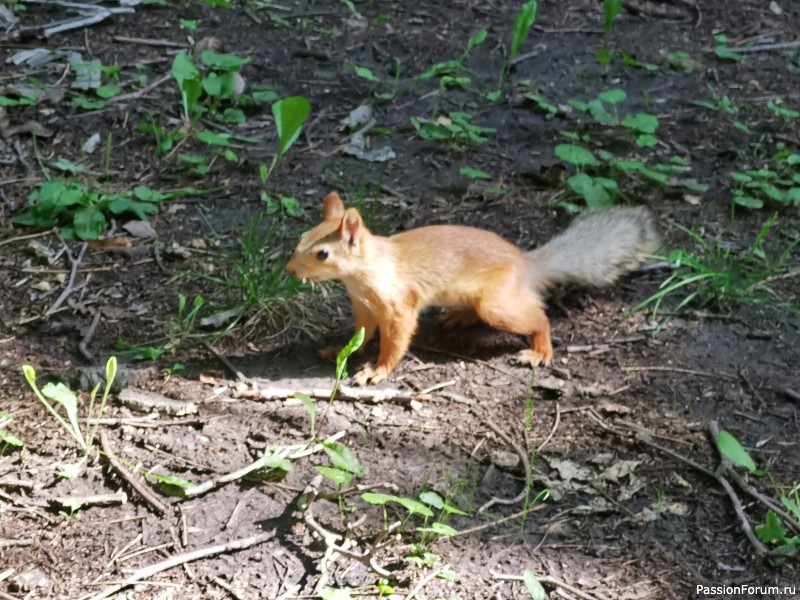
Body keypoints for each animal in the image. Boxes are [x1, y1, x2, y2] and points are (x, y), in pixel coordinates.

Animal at [284, 192, 660, 384]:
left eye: (322, 253)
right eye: (301, 237)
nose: (289, 271)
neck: (364, 272)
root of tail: (527, 265)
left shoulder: (398, 305)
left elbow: (396, 340)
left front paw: (377, 371)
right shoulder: (363, 306)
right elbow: (360, 334)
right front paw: (341, 350)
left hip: (497, 304)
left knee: (539, 317)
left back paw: (539, 350)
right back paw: (459, 318)